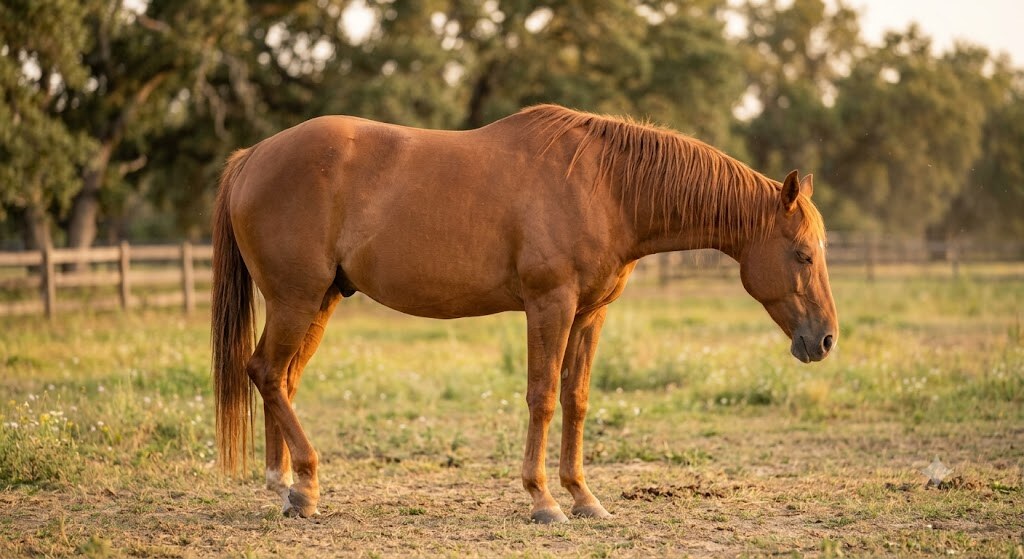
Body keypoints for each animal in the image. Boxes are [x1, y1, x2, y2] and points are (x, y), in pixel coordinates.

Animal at [211, 104, 838, 523]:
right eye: (803, 254)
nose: (826, 340)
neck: (605, 186)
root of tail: (252, 157)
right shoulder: (549, 305)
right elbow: (543, 396)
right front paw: (543, 499)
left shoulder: (589, 315)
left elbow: (576, 399)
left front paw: (583, 496)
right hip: (296, 300)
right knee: (265, 372)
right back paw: (304, 486)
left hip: (318, 302)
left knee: (282, 379)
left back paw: (286, 486)